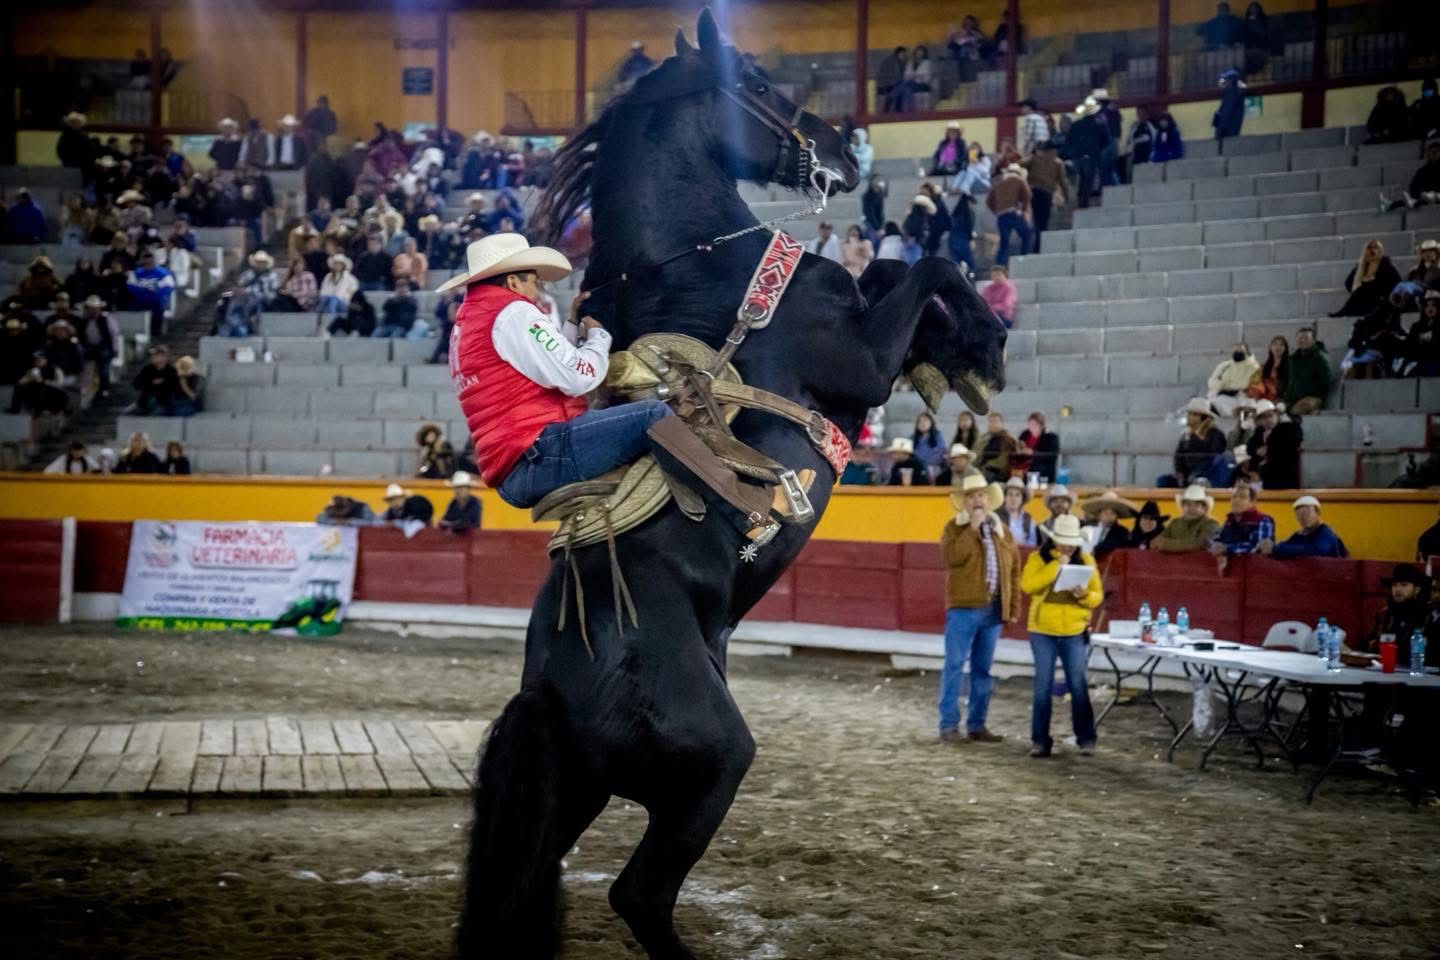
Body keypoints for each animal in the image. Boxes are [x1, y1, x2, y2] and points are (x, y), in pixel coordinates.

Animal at [459, 10, 1008, 959]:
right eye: (752, 81)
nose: (844, 151)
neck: (710, 268)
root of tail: (549, 690)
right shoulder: (858, 361)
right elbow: (929, 264)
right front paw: (982, 344)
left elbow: (892, 268)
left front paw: (950, 356)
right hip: (713, 767)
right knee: (640, 894)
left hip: (574, 793)